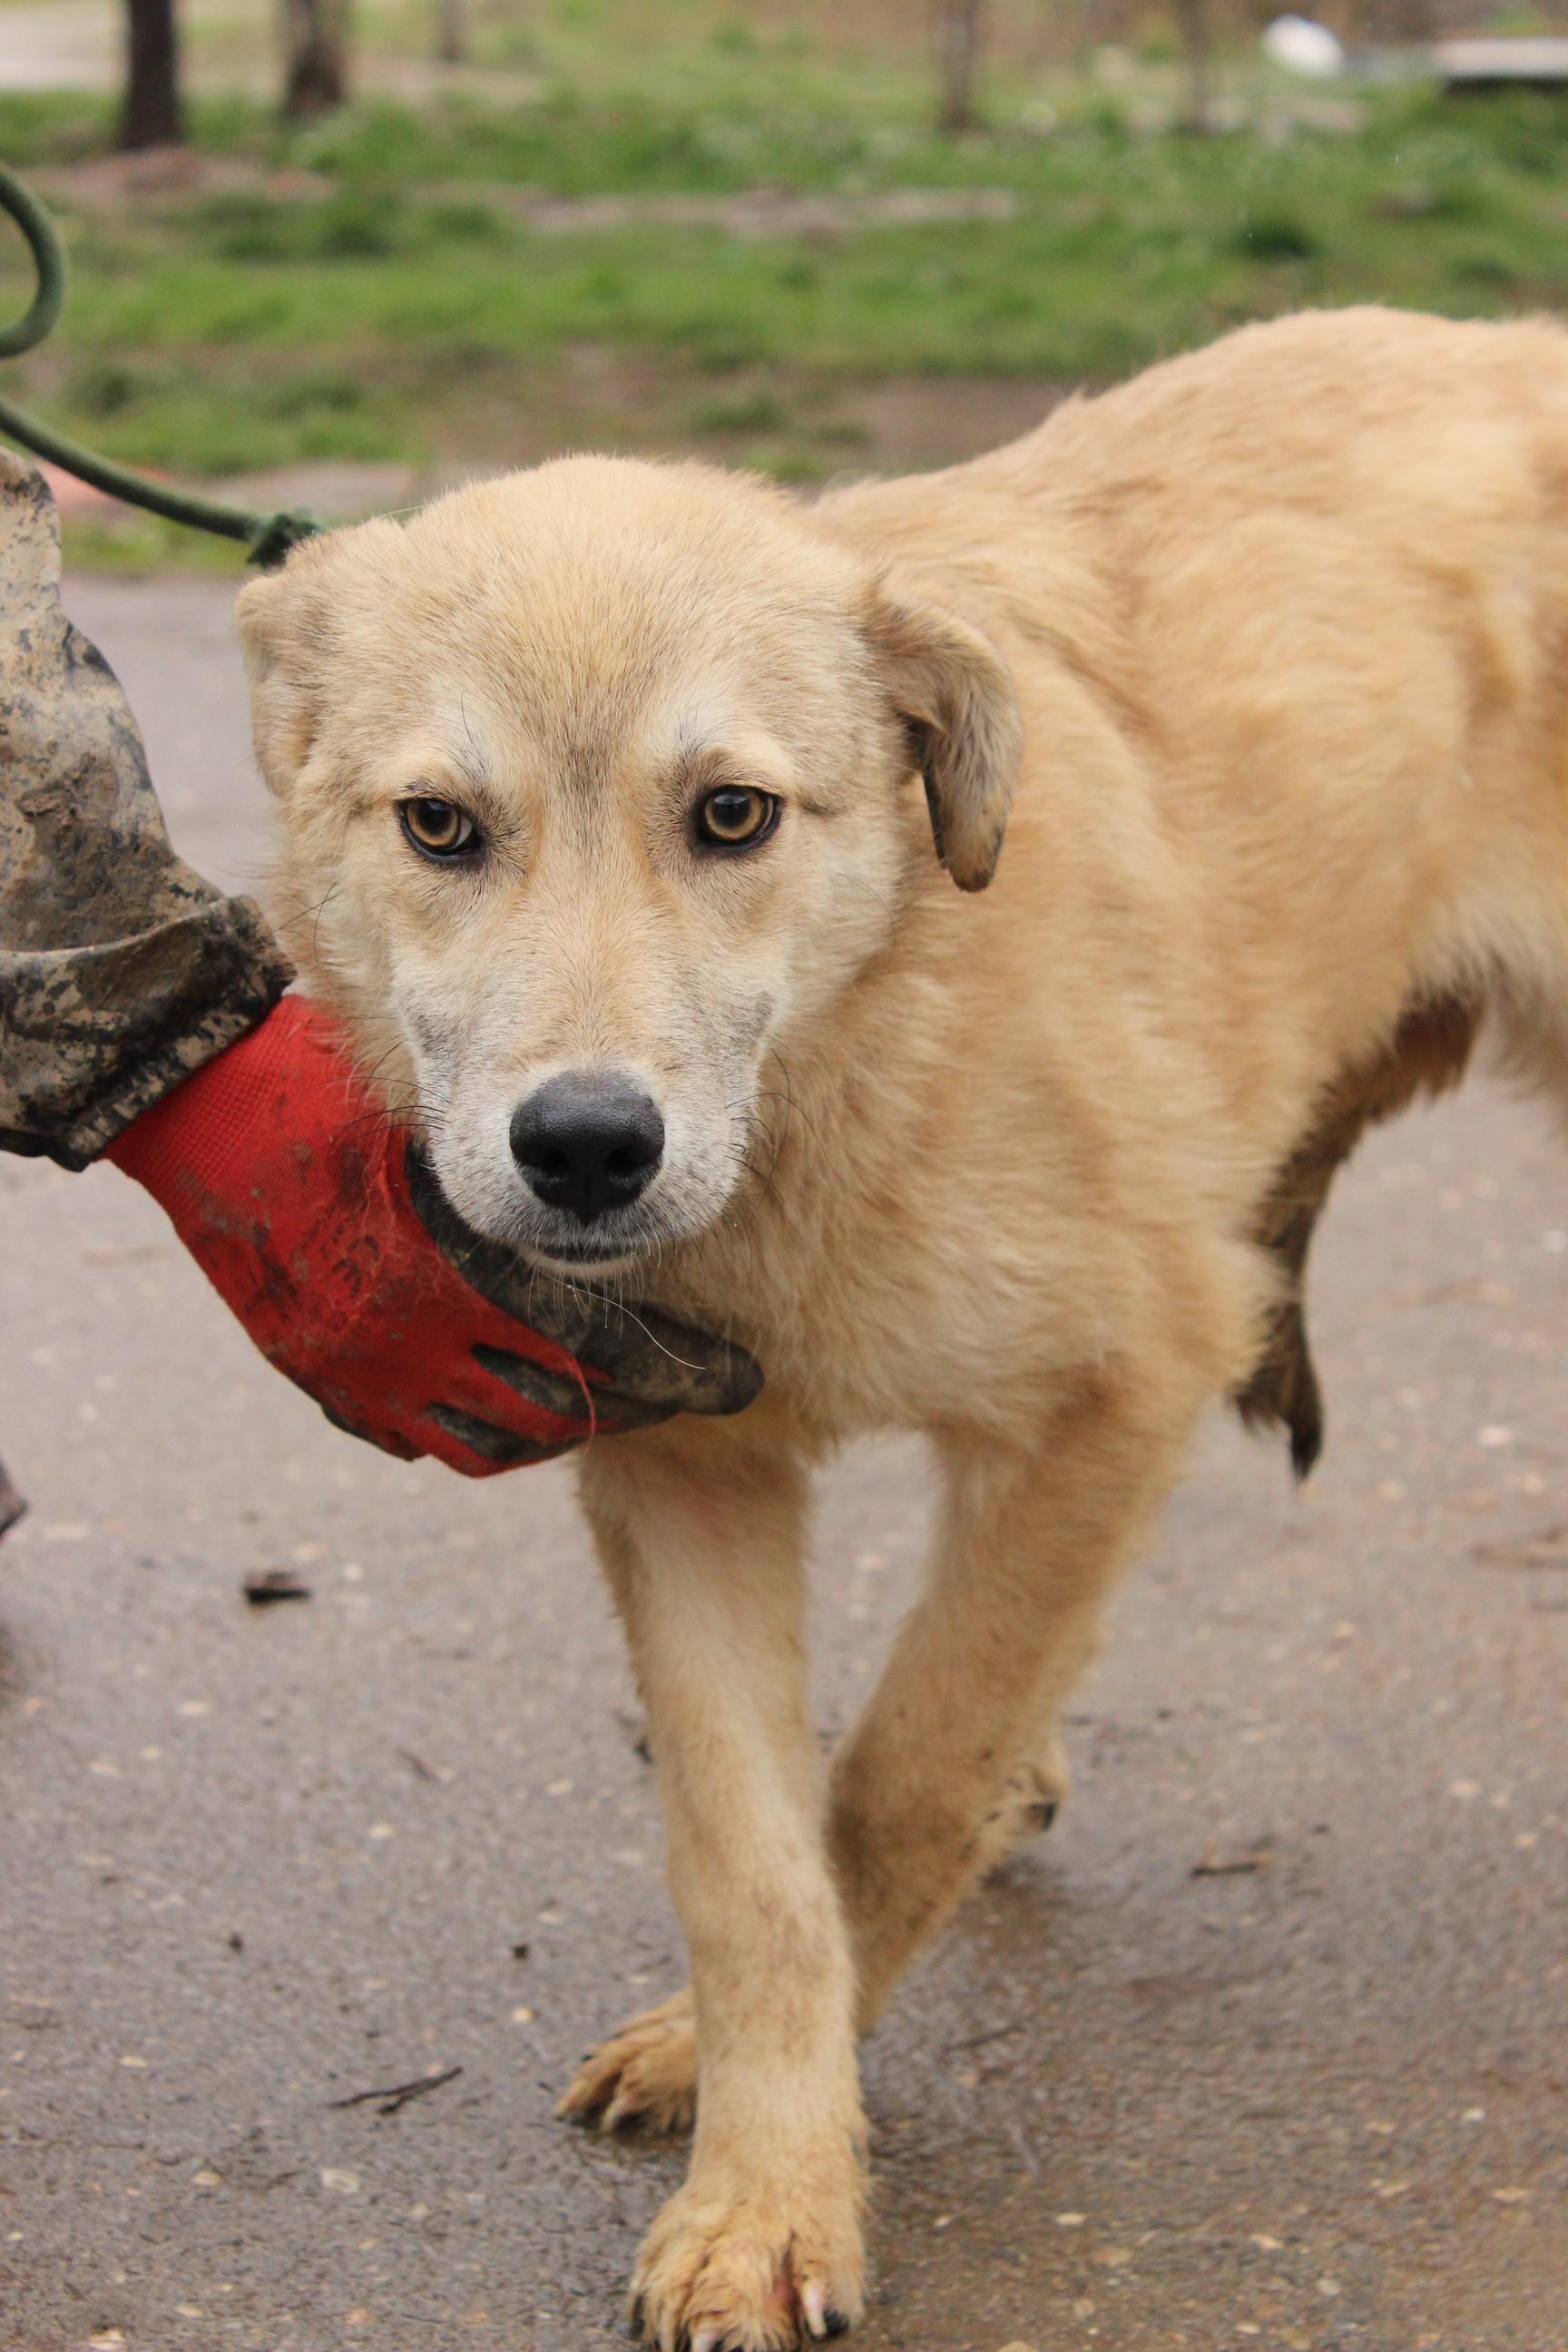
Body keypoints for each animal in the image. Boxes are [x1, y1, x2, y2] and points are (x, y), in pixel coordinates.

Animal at [240, 303, 1568, 2342]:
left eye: (731, 814)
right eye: (441, 826)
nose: (586, 1151)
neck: (852, 1055)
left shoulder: (1123, 1389)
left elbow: (900, 1779)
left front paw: (788, 2163)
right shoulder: (679, 1460)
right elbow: (750, 1855)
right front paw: (758, 2170)